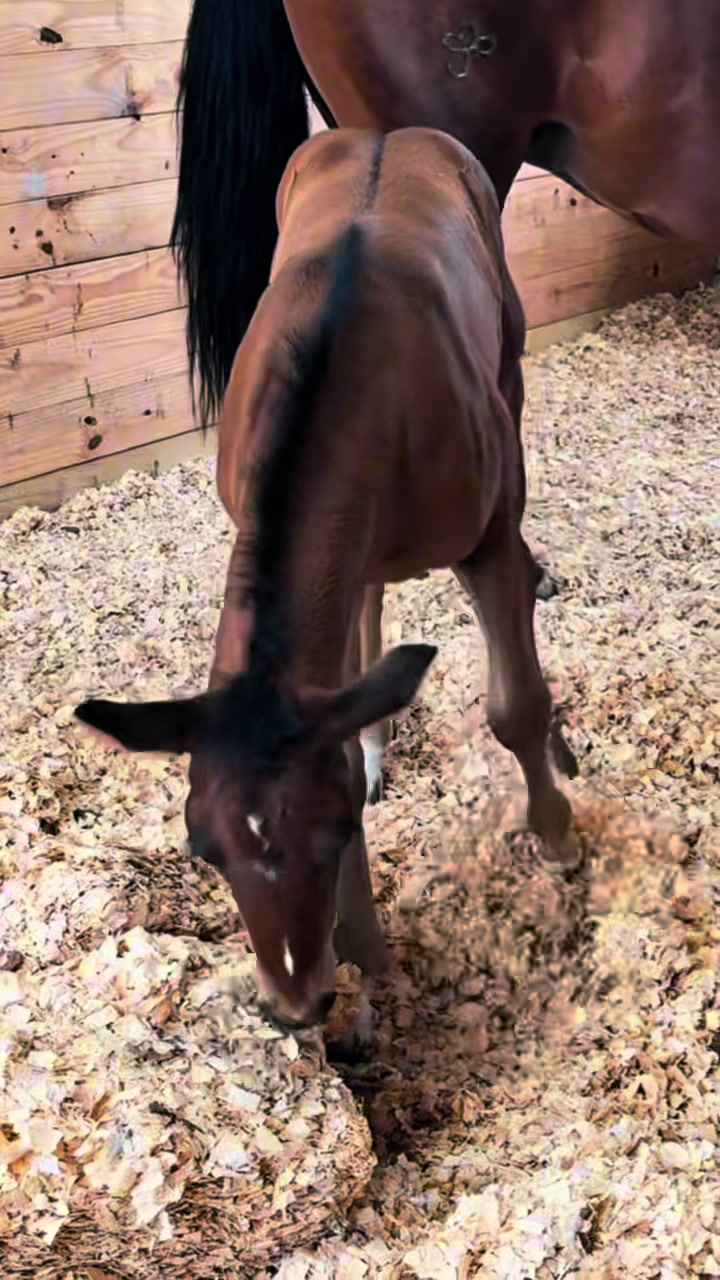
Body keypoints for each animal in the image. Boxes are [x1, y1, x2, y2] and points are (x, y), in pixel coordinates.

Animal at [75, 127, 578, 1039]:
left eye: (337, 830)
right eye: (203, 848)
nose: (296, 1002)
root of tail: (394, 132)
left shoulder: (484, 540)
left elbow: (516, 705)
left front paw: (558, 839)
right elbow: (341, 719)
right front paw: (366, 950)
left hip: (510, 367)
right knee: (369, 601)